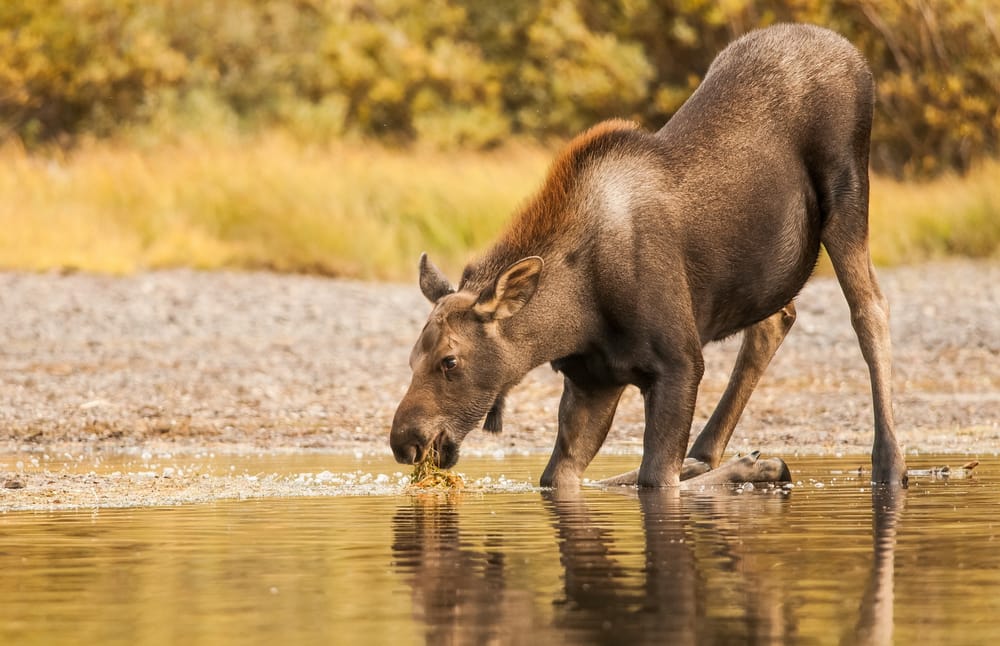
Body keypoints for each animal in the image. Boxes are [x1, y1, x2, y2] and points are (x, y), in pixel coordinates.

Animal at [388, 24, 908, 492]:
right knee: (774, 319)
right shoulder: (593, 382)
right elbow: (561, 477)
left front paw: (761, 466)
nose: (404, 442)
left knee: (869, 308)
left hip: (847, 195)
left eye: (449, 361)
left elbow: (655, 479)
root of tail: (854, 55)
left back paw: (889, 462)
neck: (574, 318)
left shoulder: (680, 363)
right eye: (412, 357)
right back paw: (706, 452)